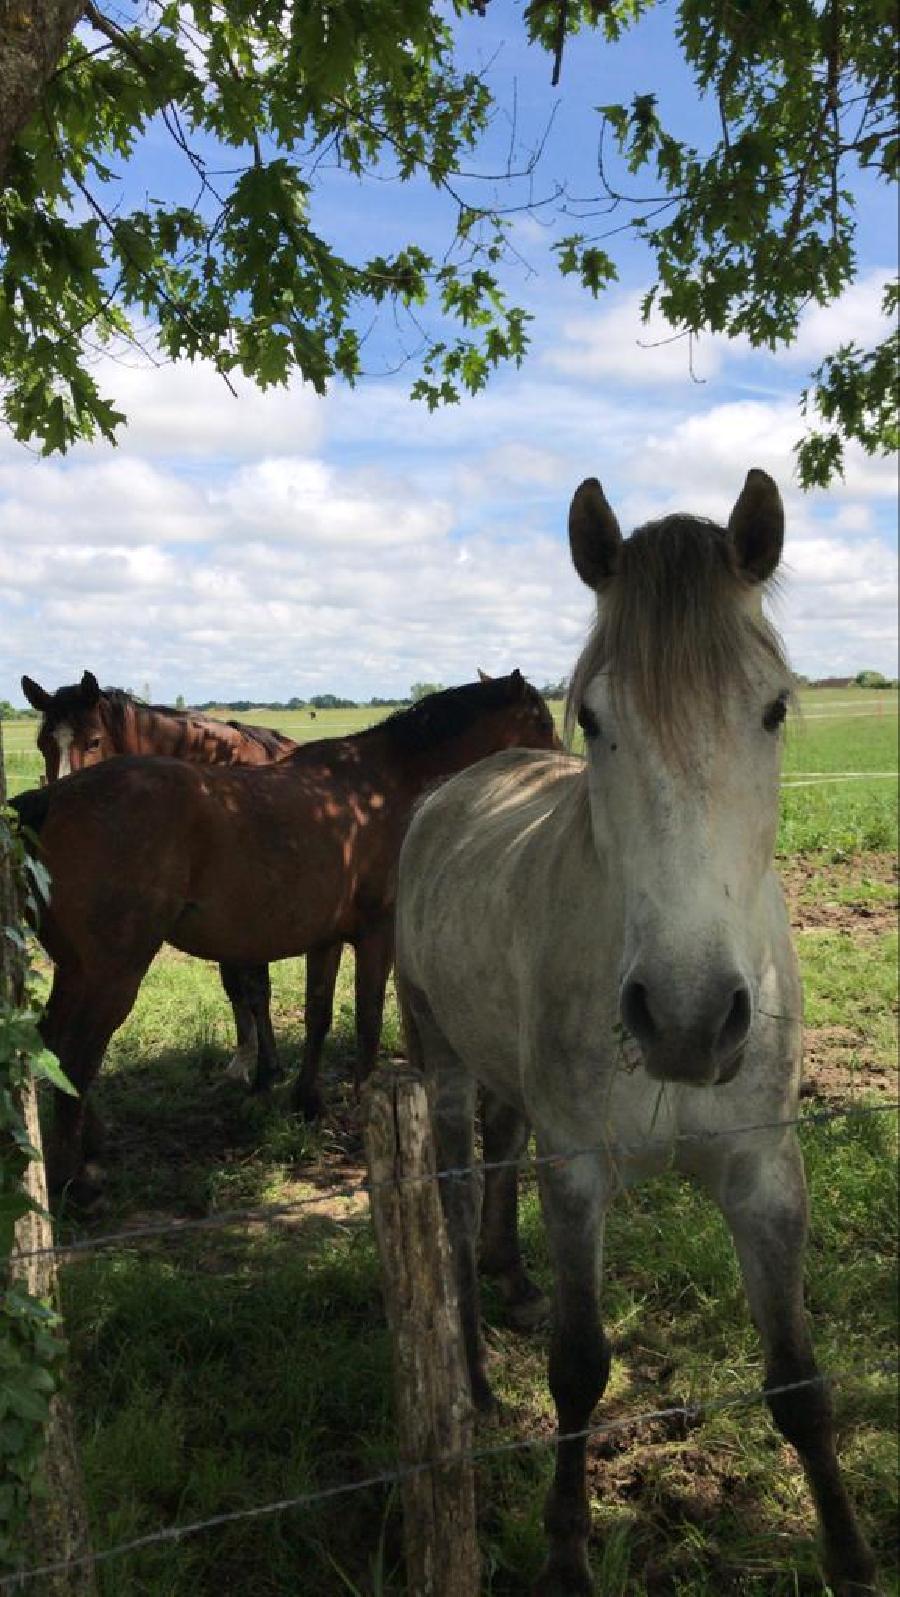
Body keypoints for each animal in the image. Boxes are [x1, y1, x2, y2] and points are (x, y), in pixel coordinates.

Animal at [21, 667, 295, 1092]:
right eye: (43, 744)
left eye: (94, 740)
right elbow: (234, 984)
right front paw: (244, 1061)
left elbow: (255, 989)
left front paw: (270, 1070)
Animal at [394, 472, 874, 1597]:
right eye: (597, 718)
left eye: (772, 707)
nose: (690, 1017)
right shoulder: (579, 1172)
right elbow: (579, 1369)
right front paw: (567, 1549)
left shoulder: (766, 1175)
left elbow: (798, 1379)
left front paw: (849, 1555)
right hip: (438, 1058)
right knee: (455, 1194)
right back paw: (473, 1373)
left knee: (498, 1150)